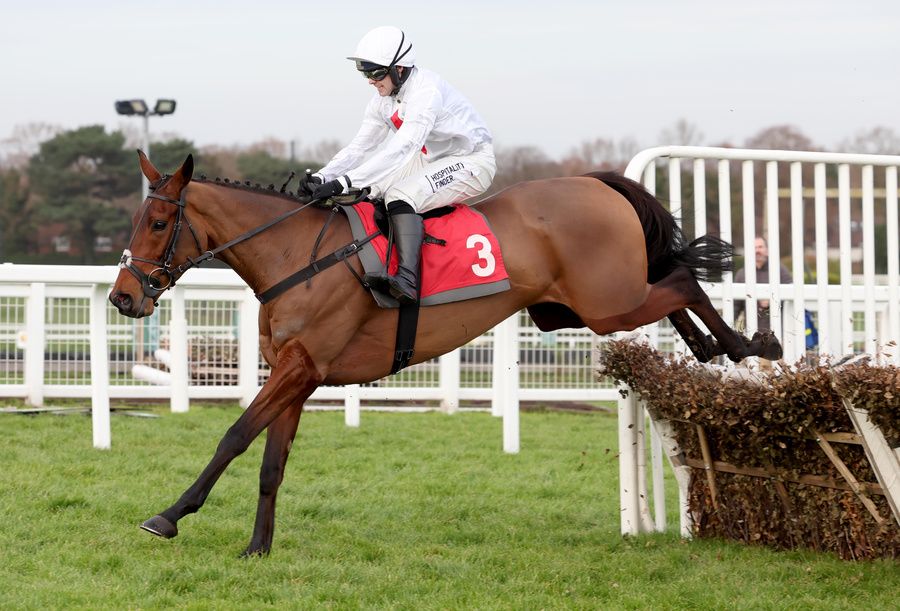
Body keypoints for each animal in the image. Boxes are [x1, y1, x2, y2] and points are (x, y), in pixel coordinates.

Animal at [107, 151, 780, 556]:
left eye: (160, 223)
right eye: (138, 219)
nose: (122, 297)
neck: (297, 255)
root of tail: (596, 182)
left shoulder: (301, 367)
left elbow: (233, 437)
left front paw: (169, 515)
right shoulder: (297, 373)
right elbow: (272, 461)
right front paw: (257, 548)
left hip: (607, 303)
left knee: (683, 280)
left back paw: (749, 342)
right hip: (577, 306)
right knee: (672, 285)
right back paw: (712, 347)